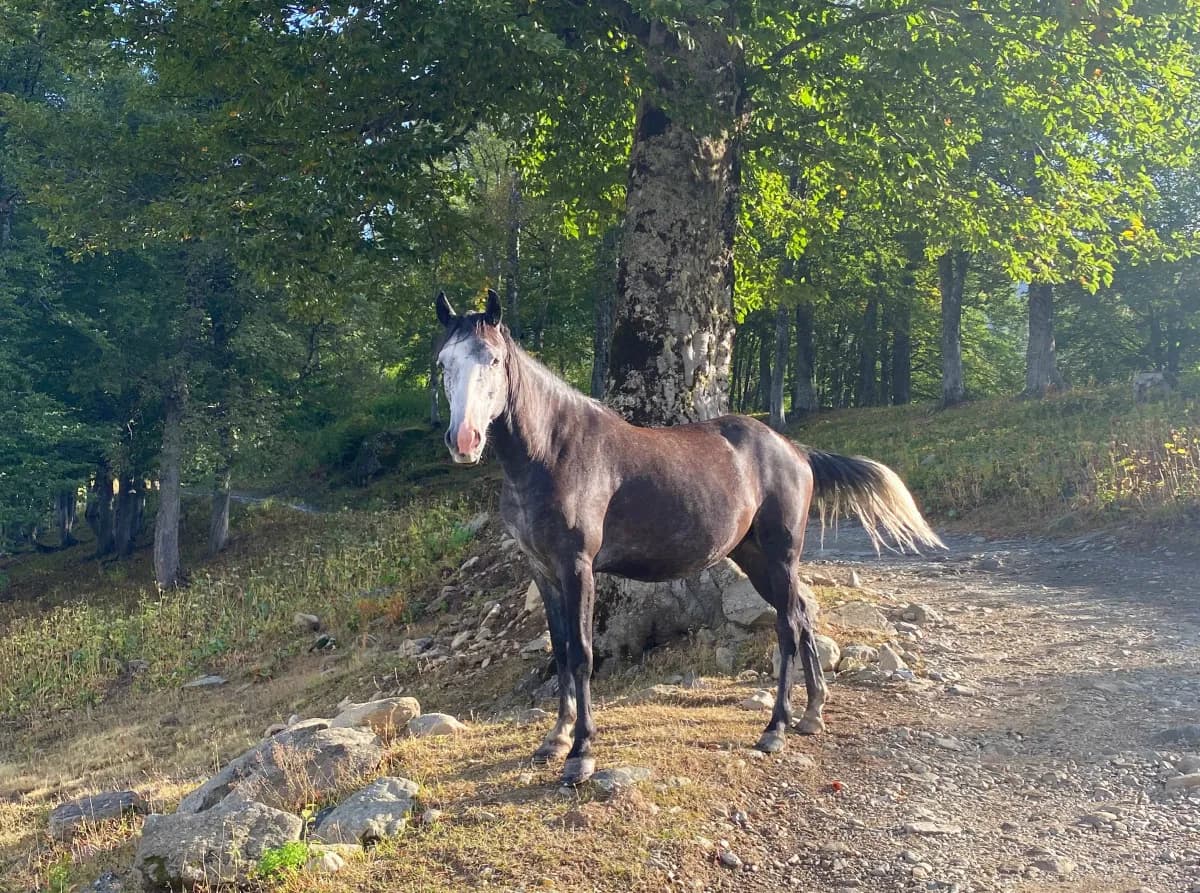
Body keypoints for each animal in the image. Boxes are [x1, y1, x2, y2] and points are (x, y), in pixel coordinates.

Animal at [435, 289, 944, 785]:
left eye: (493, 360)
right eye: (443, 362)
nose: (464, 440)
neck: (555, 452)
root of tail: (794, 450)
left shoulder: (578, 567)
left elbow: (581, 654)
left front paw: (581, 755)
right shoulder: (543, 570)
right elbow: (560, 652)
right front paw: (555, 740)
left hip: (781, 555)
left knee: (786, 626)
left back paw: (776, 728)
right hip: (753, 557)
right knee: (800, 616)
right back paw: (812, 713)